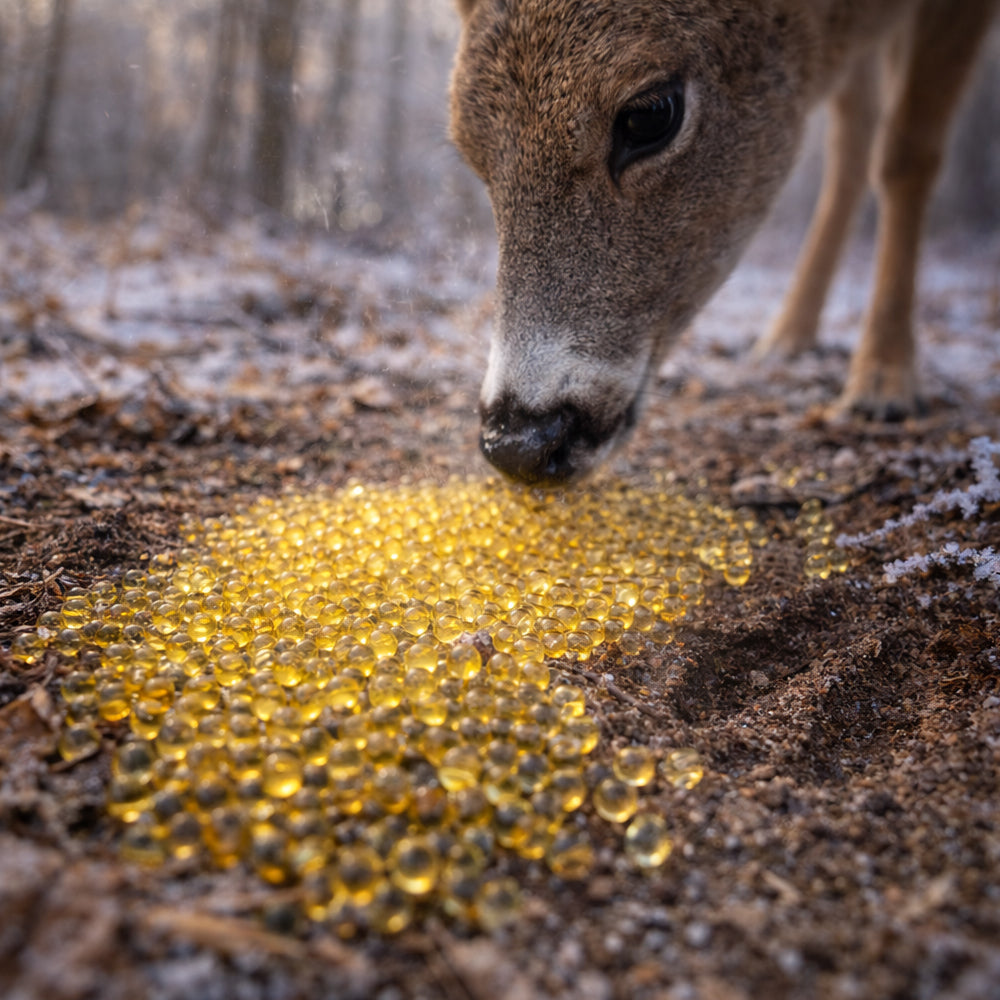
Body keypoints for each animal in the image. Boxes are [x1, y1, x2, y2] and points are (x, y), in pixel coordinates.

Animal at [448, 0, 998, 484]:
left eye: (650, 113)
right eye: (472, 152)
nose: (519, 443)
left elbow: (908, 154)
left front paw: (886, 381)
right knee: (850, 141)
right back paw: (786, 337)